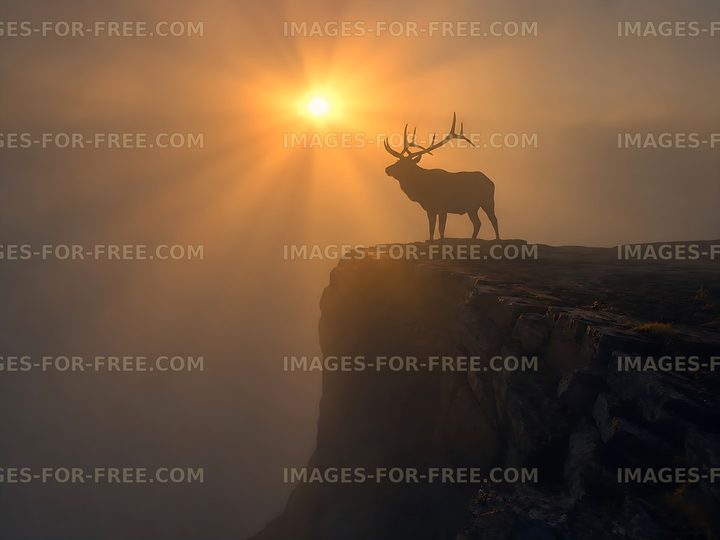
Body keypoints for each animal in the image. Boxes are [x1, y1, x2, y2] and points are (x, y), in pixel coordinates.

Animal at [383, 113, 499, 241]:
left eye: (404, 164)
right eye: (397, 161)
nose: (387, 169)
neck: (422, 191)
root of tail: (491, 182)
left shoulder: (443, 207)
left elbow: (441, 230)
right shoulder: (430, 209)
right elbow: (431, 230)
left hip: (488, 201)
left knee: (493, 219)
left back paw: (497, 238)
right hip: (472, 208)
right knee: (477, 223)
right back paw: (473, 239)